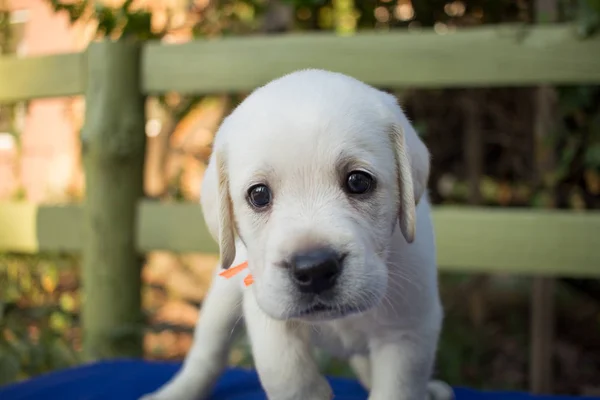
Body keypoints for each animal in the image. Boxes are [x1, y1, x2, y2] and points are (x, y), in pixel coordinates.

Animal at [141, 69, 450, 400]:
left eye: (358, 181)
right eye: (259, 195)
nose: (314, 269)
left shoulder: (407, 333)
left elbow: (396, 388)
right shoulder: (270, 317)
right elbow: (289, 376)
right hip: (221, 302)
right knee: (206, 356)